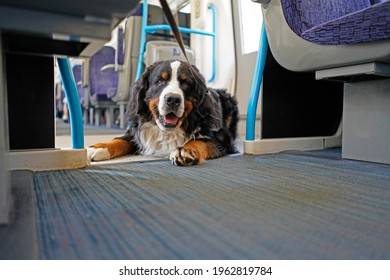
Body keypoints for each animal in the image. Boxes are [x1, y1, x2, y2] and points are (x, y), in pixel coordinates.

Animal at [87, 60, 238, 165]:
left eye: (186, 83)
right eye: (160, 80)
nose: (173, 99)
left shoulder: (222, 138)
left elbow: (200, 141)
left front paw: (185, 150)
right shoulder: (136, 131)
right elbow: (120, 140)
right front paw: (99, 147)